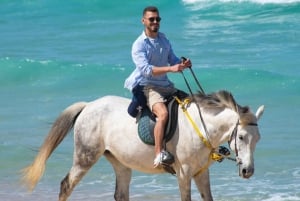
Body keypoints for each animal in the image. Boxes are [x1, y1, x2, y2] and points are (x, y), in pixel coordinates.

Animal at [21, 90, 264, 200]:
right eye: (241, 137)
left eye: (258, 139)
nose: (248, 171)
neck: (201, 127)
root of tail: (89, 105)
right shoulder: (184, 173)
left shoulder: (201, 173)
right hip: (85, 157)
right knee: (66, 185)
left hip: (120, 163)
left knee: (120, 194)